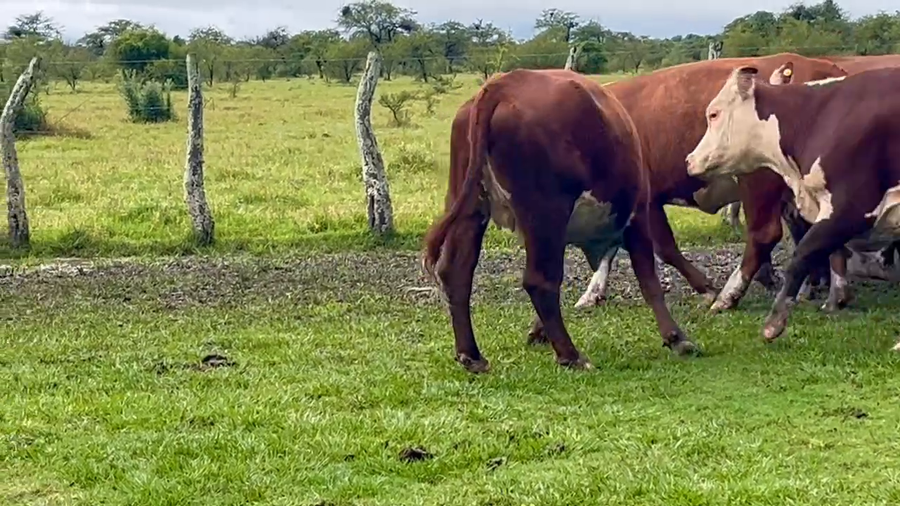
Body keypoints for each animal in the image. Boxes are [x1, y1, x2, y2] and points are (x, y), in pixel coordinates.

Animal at [422, 68, 697, 373]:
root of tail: (505, 82)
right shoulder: (637, 215)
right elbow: (649, 279)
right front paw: (676, 337)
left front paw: (537, 331)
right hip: (546, 212)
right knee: (540, 280)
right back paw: (571, 355)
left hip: (471, 206)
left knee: (456, 272)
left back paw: (471, 355)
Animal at [448, 53, 847, 314]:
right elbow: (610, 250)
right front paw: (593, 292)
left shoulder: (646, 199)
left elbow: (664, 249)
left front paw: (706, 288)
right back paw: (826, 289)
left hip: (757, 182)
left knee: (765, 235)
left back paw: (730, 295)